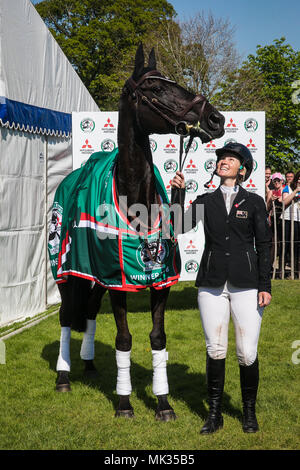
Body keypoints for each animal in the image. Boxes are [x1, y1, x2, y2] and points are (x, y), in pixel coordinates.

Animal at [52, 43, 224, 418]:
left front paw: (163, 402)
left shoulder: (158, 283)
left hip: (95, 278)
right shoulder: (119, 283)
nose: (215, 119)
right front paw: (124, 402)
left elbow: (157, 339)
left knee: (88, 313)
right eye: (156, 88)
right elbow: (124, 340)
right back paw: (64, 376)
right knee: (67, 316)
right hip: (67, 274)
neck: (135, 202)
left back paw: (89, 364)